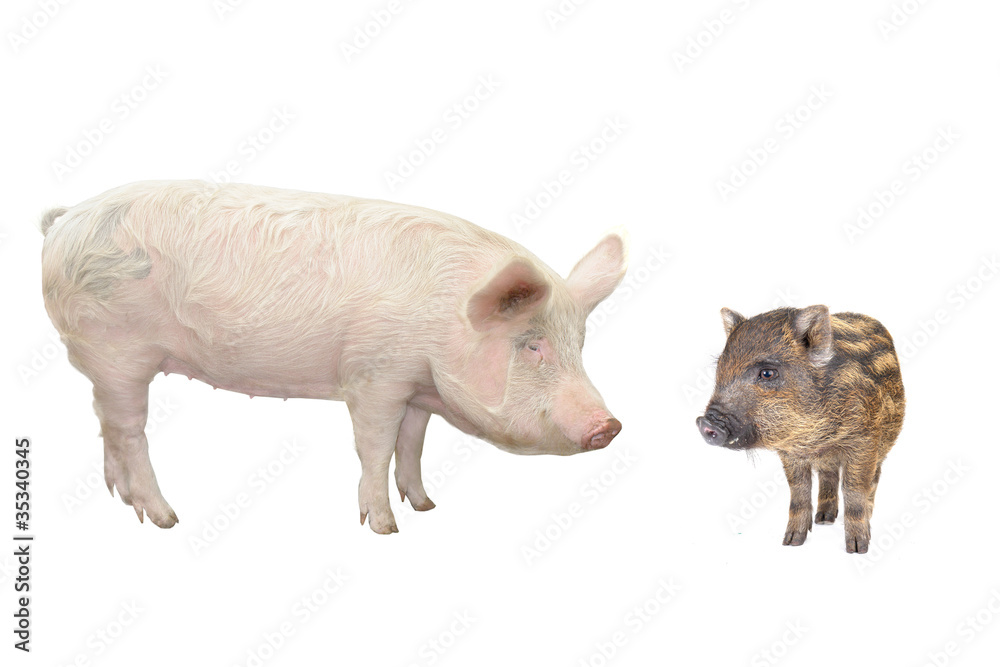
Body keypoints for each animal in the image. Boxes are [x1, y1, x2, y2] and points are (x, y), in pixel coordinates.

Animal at [40, 180, 626, 534]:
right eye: (532, 345)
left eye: (579, 345)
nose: (610, 425)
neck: (442, 319)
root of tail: (66, 219)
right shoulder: (374, 377)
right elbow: (376, 448)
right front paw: (386, 527)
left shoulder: (416, 387)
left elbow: (411, 445)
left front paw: (426, 506)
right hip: (117, 351)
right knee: (130, 432)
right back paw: (165, 518)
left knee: (107, 425)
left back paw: (121, 500)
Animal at [696, 306, 905, 553]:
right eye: (720, 367)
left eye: (767, 373)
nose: (706, 423)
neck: (815, 438)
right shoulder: (791, 454)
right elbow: (799, 492)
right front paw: (791, 542)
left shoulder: (864, 443)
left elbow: (854, 490)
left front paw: (857, 548)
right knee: (828, 475)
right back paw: (824, 519)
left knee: (873, 479)